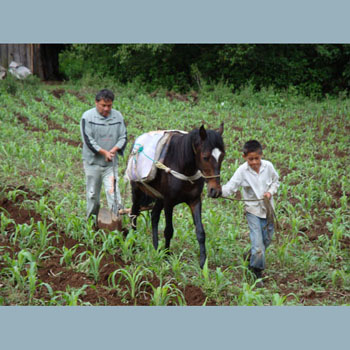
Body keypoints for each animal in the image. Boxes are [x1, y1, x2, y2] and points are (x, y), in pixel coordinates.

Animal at [130, 123, 226, 268]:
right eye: (205, 157)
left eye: (222, 156)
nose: (216, 191)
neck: (184, 167)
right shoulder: (169, 202)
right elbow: (169, 230)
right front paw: (166, 256)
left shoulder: (194, 200)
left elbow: (200, 232)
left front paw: (203, 262)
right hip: (137, 191)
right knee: (134, 214)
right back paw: (133, 245)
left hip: (159, 198)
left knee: (154, 215)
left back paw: (155, 247)